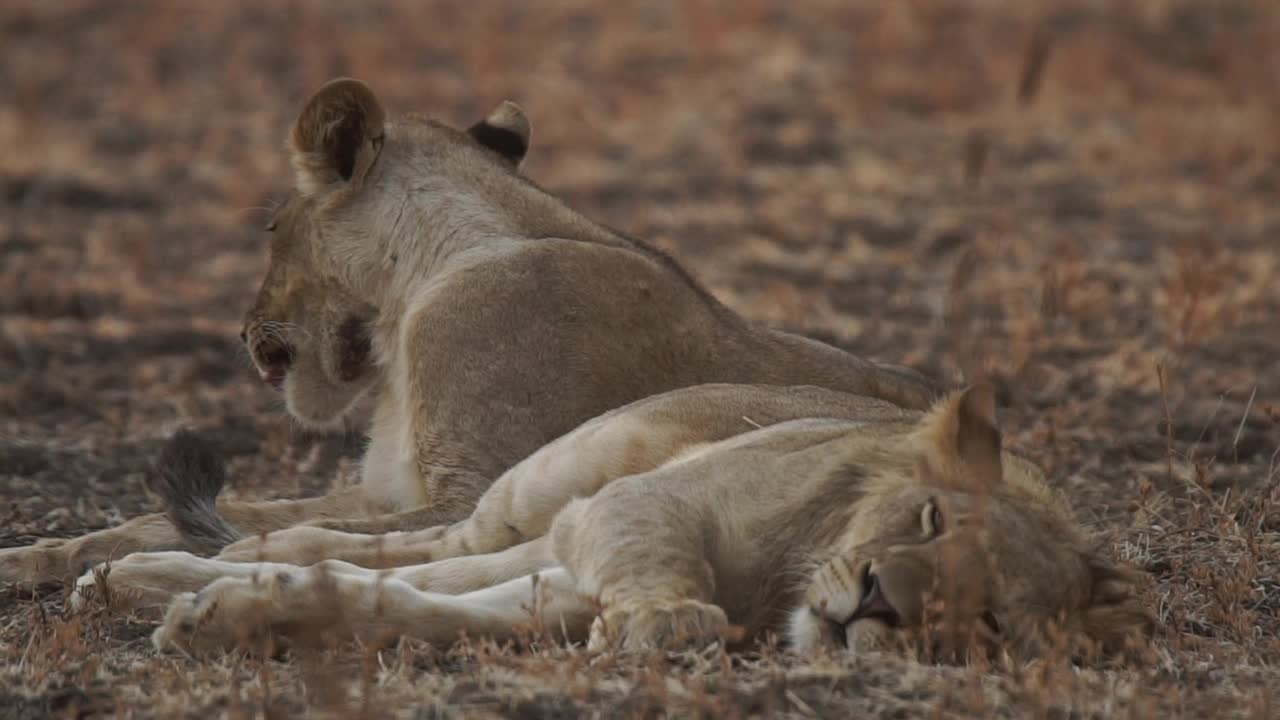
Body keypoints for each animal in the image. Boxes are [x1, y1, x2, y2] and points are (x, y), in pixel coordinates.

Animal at [5, 77, 936, 584]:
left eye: (271, 227)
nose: (241, 333)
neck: (414, 293)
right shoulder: (390, 490)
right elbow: (172, 517)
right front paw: (38, 560)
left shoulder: (460, 489)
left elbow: (264, 530)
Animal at [85, 381, 1157, 655]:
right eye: (931, 519)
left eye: (988, 623)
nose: (879, 605)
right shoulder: (649, 504)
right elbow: (665, 577)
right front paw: (670, 624)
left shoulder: (566, 584)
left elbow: (407, 611)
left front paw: (240, 616)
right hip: (558, 481)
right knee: (369, 541)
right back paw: (123, 572)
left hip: (549, 539)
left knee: (398, 574)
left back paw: (159, 593)